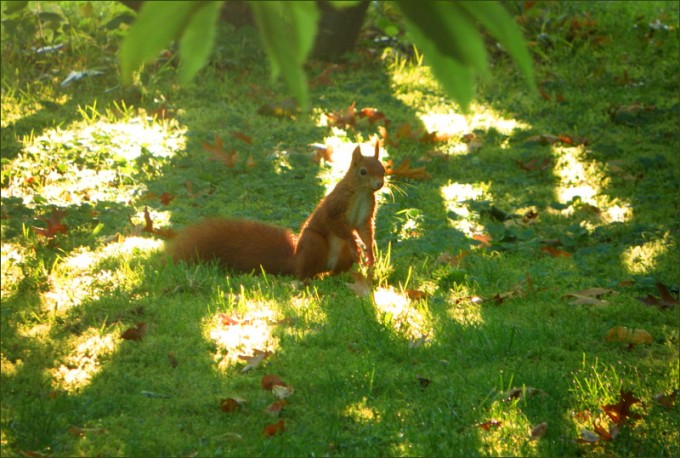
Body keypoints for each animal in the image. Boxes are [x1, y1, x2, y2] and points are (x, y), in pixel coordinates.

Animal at [168, 143, 385, 280]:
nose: (379, 184)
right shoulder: (336, 206)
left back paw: (342, 276)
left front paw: (370, 254)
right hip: (314, 243)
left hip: (340, 256)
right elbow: (337, 225)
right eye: (363, 171)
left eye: (383, 169)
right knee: (304, 273)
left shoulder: (366, 212)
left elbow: (365, 231)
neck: (361, 192)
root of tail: (296, 260)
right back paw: (308, 280)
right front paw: (355, 242)